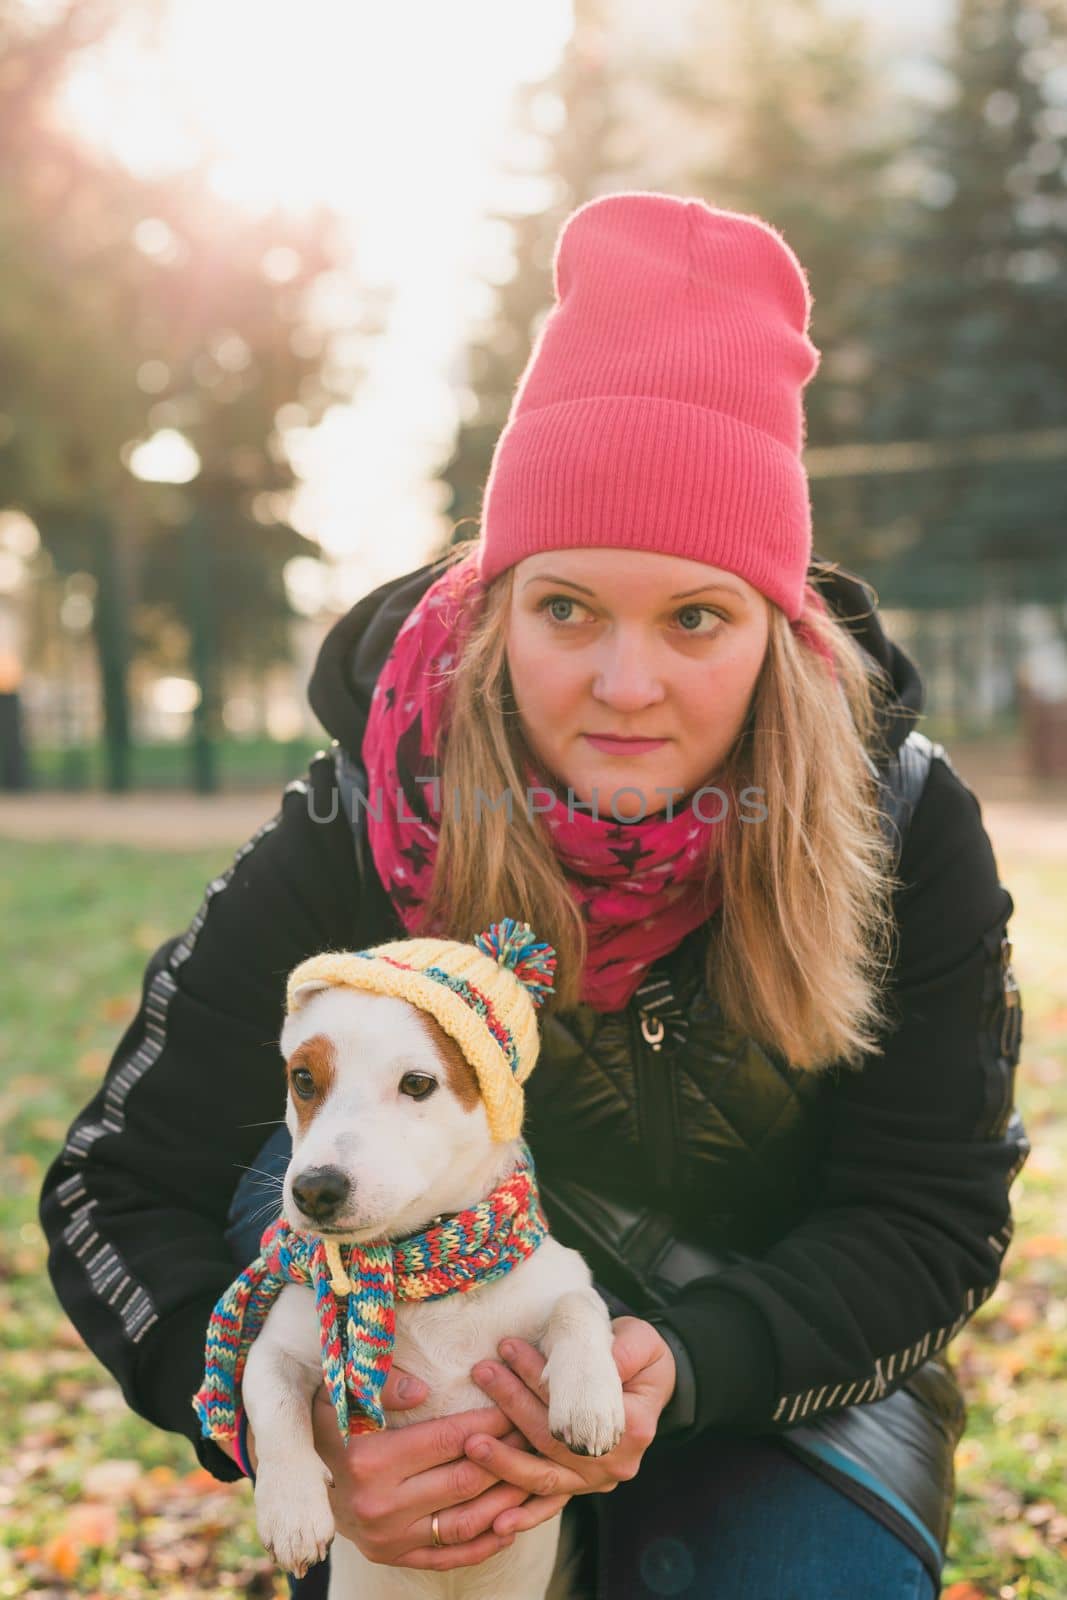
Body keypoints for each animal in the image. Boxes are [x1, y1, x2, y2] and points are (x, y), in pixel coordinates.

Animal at [241, 972, 627, 1600]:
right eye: (303, 1079)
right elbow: (270, 1401)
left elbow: (579, 1309)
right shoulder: (281, 1346)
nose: (314, 1188)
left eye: (418, 1083)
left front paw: (590, 1399)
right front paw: (291, 1512)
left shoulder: (565, 1278)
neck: (417, 1269)